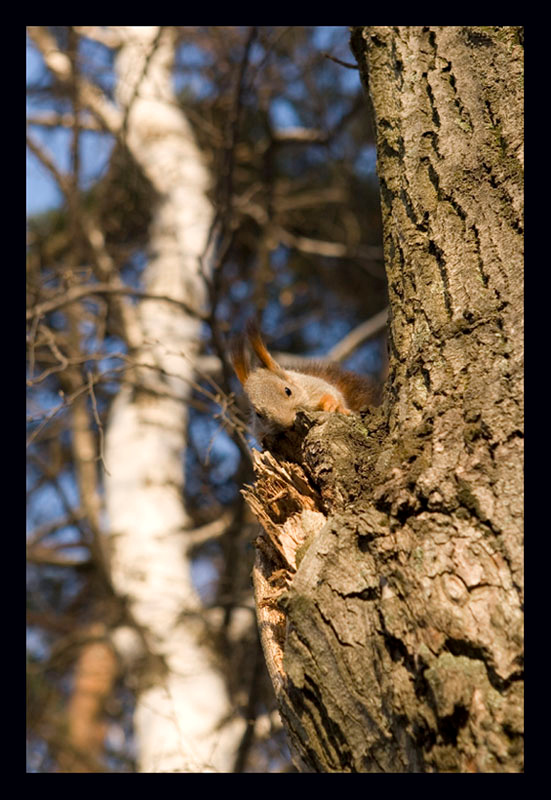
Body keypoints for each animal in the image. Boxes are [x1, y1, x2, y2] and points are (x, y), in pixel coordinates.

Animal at [230, 320, 379, 439]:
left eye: (288, 391)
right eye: (258, 414)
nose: (289, 423)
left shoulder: (313, 386)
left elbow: (331, 394)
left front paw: (332, 405)